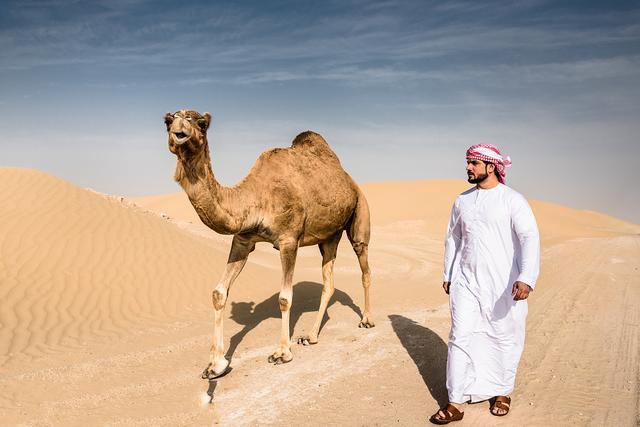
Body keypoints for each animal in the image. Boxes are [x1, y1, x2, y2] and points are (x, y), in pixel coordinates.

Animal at [164, 110, 376, 382]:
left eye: (201, 123)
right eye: (167, 121)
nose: (179, 130)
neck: (254, 199)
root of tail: (350, 180)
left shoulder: (288, 241)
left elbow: (285, 297)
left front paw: (281, 353)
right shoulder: (243, 240)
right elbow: (219, 292)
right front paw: (215, 365)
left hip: (360, 212)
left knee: (364, 266)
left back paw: (367, 320)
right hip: (329, 236)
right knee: (328, 281)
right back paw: (311, 337)